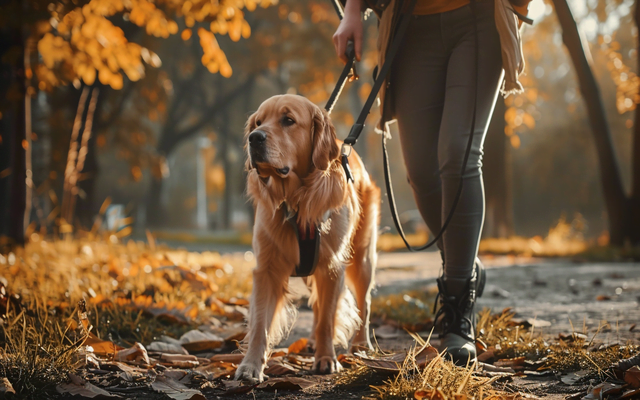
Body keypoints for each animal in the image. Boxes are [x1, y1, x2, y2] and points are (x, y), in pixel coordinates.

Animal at [238, 94, 382, 384]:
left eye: (288, 120)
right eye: (258, 122)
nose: (254, 138)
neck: (296, 202)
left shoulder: (331, 267)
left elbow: (328, 319)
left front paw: (326, 360)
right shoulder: (266, 269)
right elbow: (260, 323)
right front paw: (251, 366)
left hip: (362, 259)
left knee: (364, 303)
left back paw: (361, 345)